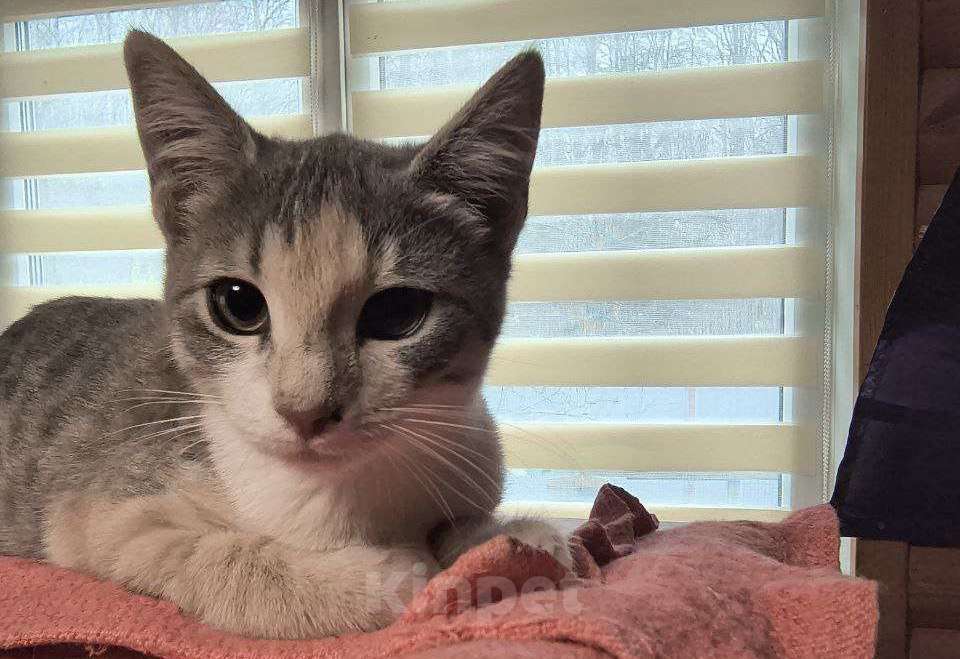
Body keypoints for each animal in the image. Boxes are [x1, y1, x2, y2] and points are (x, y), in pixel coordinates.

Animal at [0, 30, 570, 639]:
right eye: (238, 304)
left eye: (397, 312)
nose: (306, 411)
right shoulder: (97, 514)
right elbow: (211, 555)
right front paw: (390, 575)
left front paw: (518, 536)